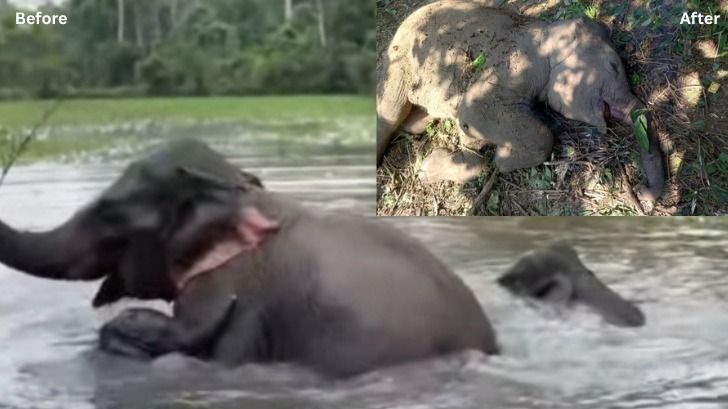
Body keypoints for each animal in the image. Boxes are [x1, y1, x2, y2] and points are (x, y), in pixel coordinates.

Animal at [377, 1, 665, 202]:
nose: (642, 191)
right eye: (614, 67)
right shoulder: (517, 64)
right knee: (389, 112)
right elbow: (474, 111)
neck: (548, 30)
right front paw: (500, 159)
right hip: (400, 62)